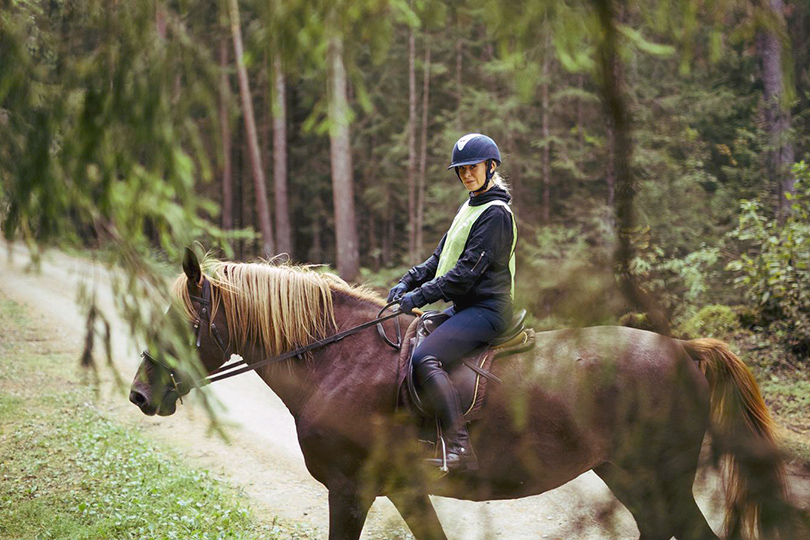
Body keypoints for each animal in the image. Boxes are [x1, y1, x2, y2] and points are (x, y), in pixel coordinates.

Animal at [129, 251, 784, 540]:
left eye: (177, 319)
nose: (138, 394)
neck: (339, 362)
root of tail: (686, 350)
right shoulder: (403, 490)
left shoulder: (350, 490)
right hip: (630, 476)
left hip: (662, 477)